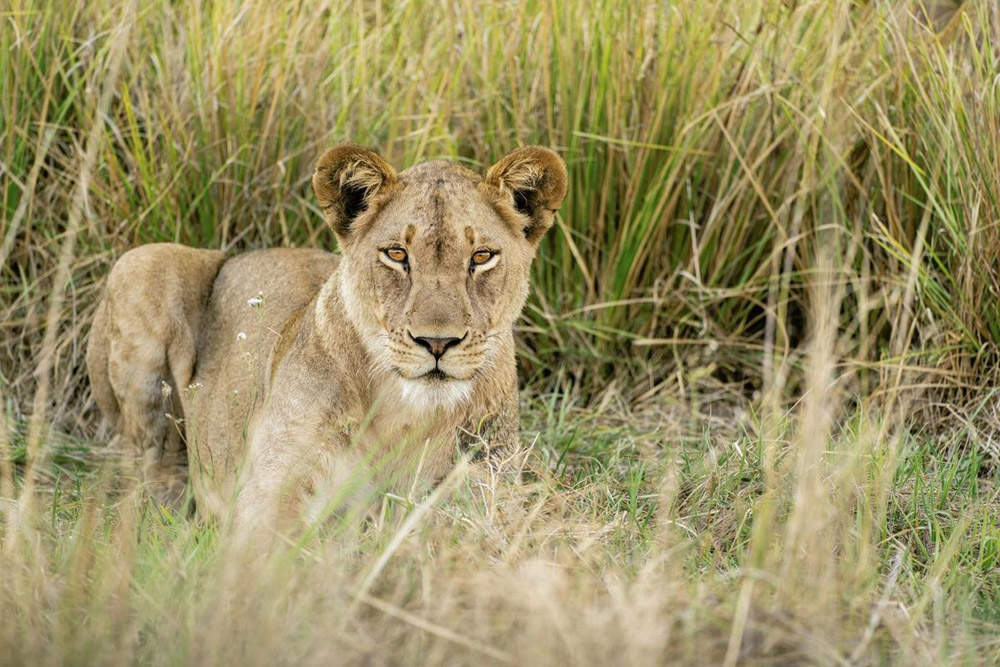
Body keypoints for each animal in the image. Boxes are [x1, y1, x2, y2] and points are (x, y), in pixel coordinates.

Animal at [86, 143, 568, 542]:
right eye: (396, 254)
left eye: (481, 257)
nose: (436, 342)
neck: (406, 413)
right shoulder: (267, 496)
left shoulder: (485, 497)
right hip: (141, 263)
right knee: (148, 460)